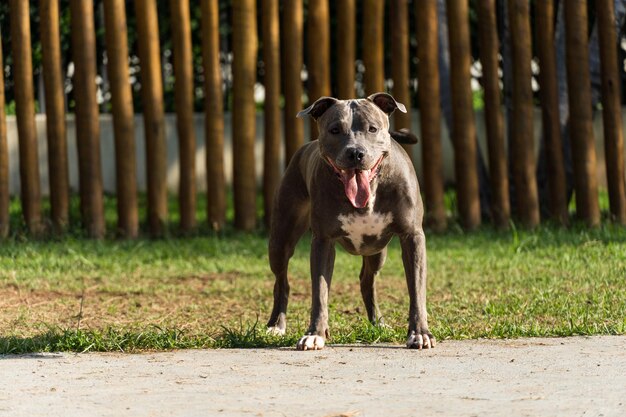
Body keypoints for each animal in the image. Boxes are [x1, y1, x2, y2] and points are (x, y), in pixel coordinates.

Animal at [264, 92, 434, 350]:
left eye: (372, 128)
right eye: (335, 130)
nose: (355, 152)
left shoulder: (412, 236)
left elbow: (416, 289)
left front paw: (419, 333)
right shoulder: (322, 241)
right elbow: (320, 291)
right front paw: (315, 334)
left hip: (377, 250)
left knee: (367, 281)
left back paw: (378, 323)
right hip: (280, 240)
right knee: (281, 282)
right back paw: (276, 325)